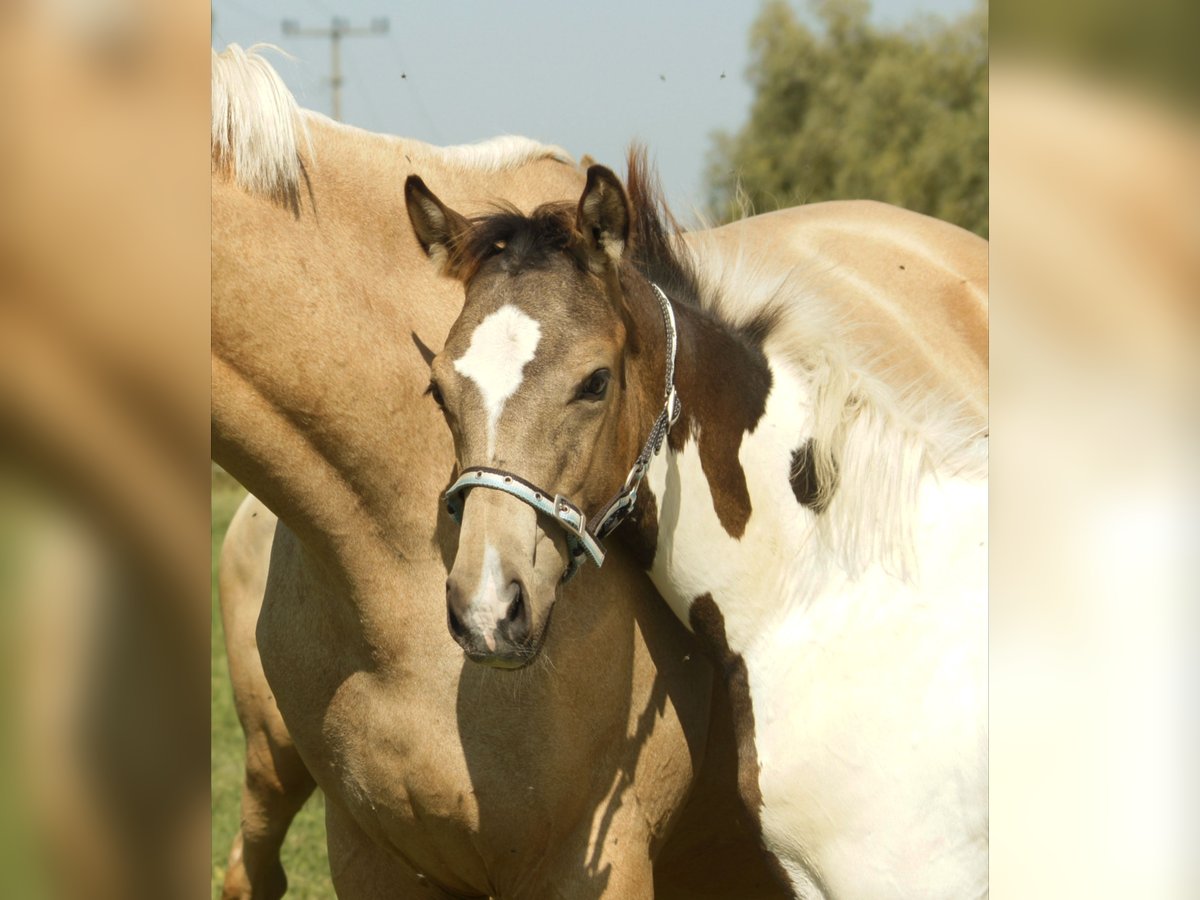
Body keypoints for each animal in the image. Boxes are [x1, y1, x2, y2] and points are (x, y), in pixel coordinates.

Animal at [211, 45, 782, 897]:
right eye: (437, 390)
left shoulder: (604, 857)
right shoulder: (368, 849)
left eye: (597, 382)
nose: (487, 612)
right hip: (269, 764)